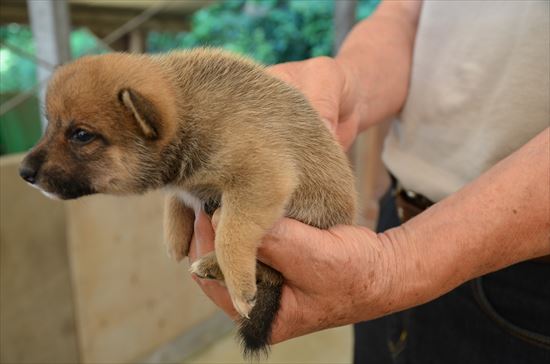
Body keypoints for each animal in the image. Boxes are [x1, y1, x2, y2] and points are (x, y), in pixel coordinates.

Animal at [18, 49, 358, 358]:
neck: (190, 113)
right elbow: (177, 198)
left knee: (274, 272)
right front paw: (175, 232)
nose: (23, 172)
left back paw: (214, 265)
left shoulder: (263, 177)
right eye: (49, 124)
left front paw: (237, 281)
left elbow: (232, 234)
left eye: (81, 135)